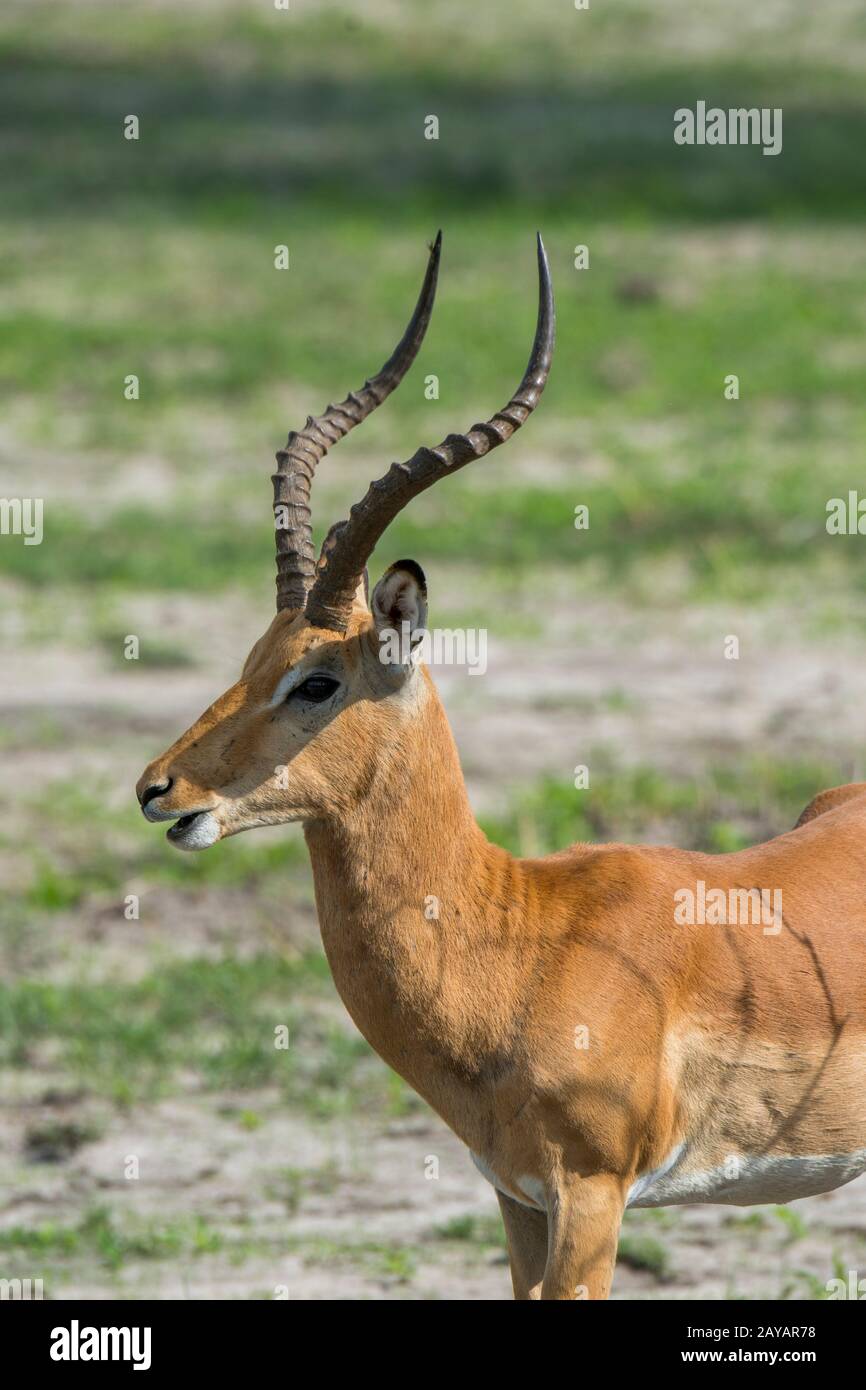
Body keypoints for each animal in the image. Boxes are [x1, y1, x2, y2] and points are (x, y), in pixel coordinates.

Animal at [137, 233, 866, 1300]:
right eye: (251, 658)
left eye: (317, 681)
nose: (160, 789)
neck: (517, 942)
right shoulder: (515, 1197)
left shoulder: (592, 1198)